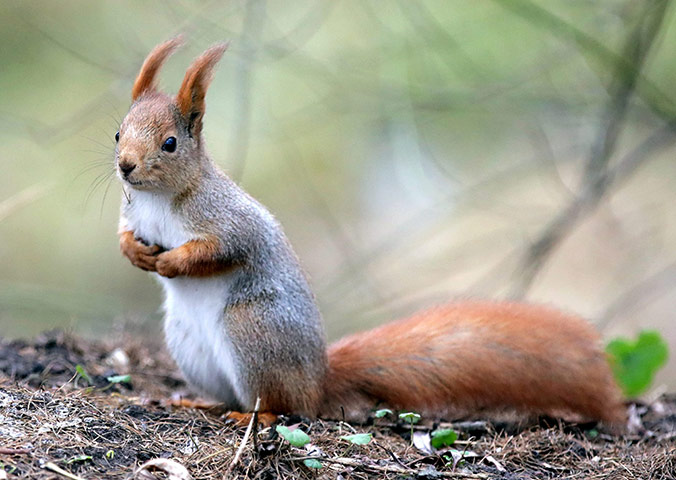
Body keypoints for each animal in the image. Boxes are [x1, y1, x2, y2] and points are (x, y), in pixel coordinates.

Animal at [115, 37, 626, 427]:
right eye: (118, 133)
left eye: (170, 143)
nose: (124, 167)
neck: (160, 198)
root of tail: (318, 381)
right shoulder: (133, 215)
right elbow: (124, 234)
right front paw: (135, 254)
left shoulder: (229, 222)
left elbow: (222, 249)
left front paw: (172, 260)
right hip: (188, 346)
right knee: (233, 395)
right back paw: (198, 401)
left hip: (253, 332)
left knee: (283, 407)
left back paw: (253, 416)